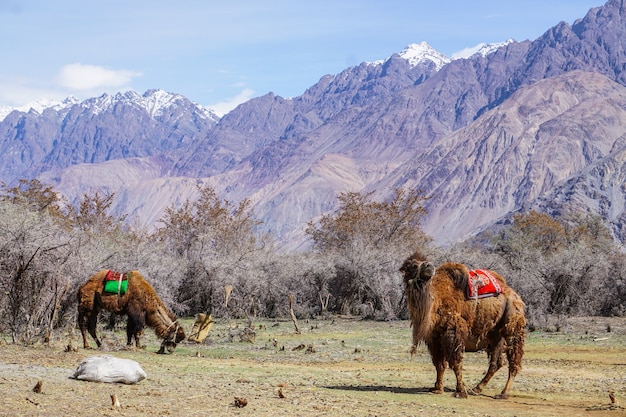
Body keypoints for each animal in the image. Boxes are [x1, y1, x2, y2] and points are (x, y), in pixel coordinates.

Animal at [398, 252, 524, 398]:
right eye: (412, 265)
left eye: (425, 260)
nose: (429, 266)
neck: (435, 302)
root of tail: (515, 295)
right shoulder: (434, 337)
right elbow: (439, 363)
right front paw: (437, 388)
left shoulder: (453, 330)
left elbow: (456, 362)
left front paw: (460, 391)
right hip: (495, 334)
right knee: (496, 362)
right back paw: (477, 388)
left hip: (513, 320)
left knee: (514, 358)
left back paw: (503, 393)